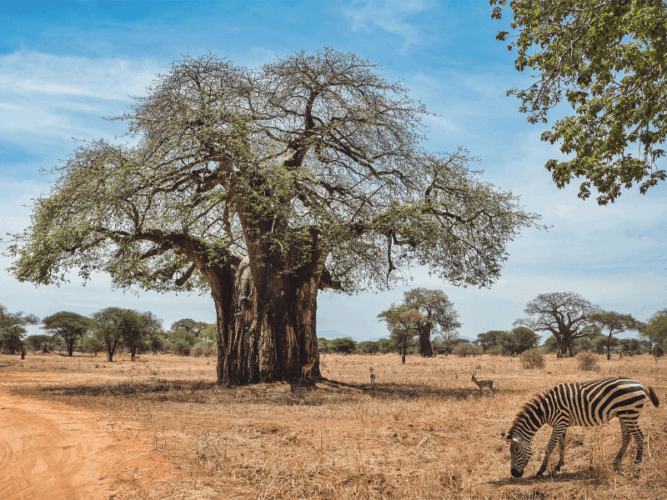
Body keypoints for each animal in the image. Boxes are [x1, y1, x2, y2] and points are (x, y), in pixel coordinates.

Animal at [501, 376, 659, 478]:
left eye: (516, 451)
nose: (514, 474)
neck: (545, 410)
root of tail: (640, 384)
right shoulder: (562, 424)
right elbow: (561, 445)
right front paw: (559, 465)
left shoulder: (560, 423)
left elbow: (550, 446)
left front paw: (541, 470)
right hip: (623, 415)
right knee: (627, 437)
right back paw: (616, 462)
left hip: (630, 413)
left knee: (639, 435)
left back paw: (637, 462)